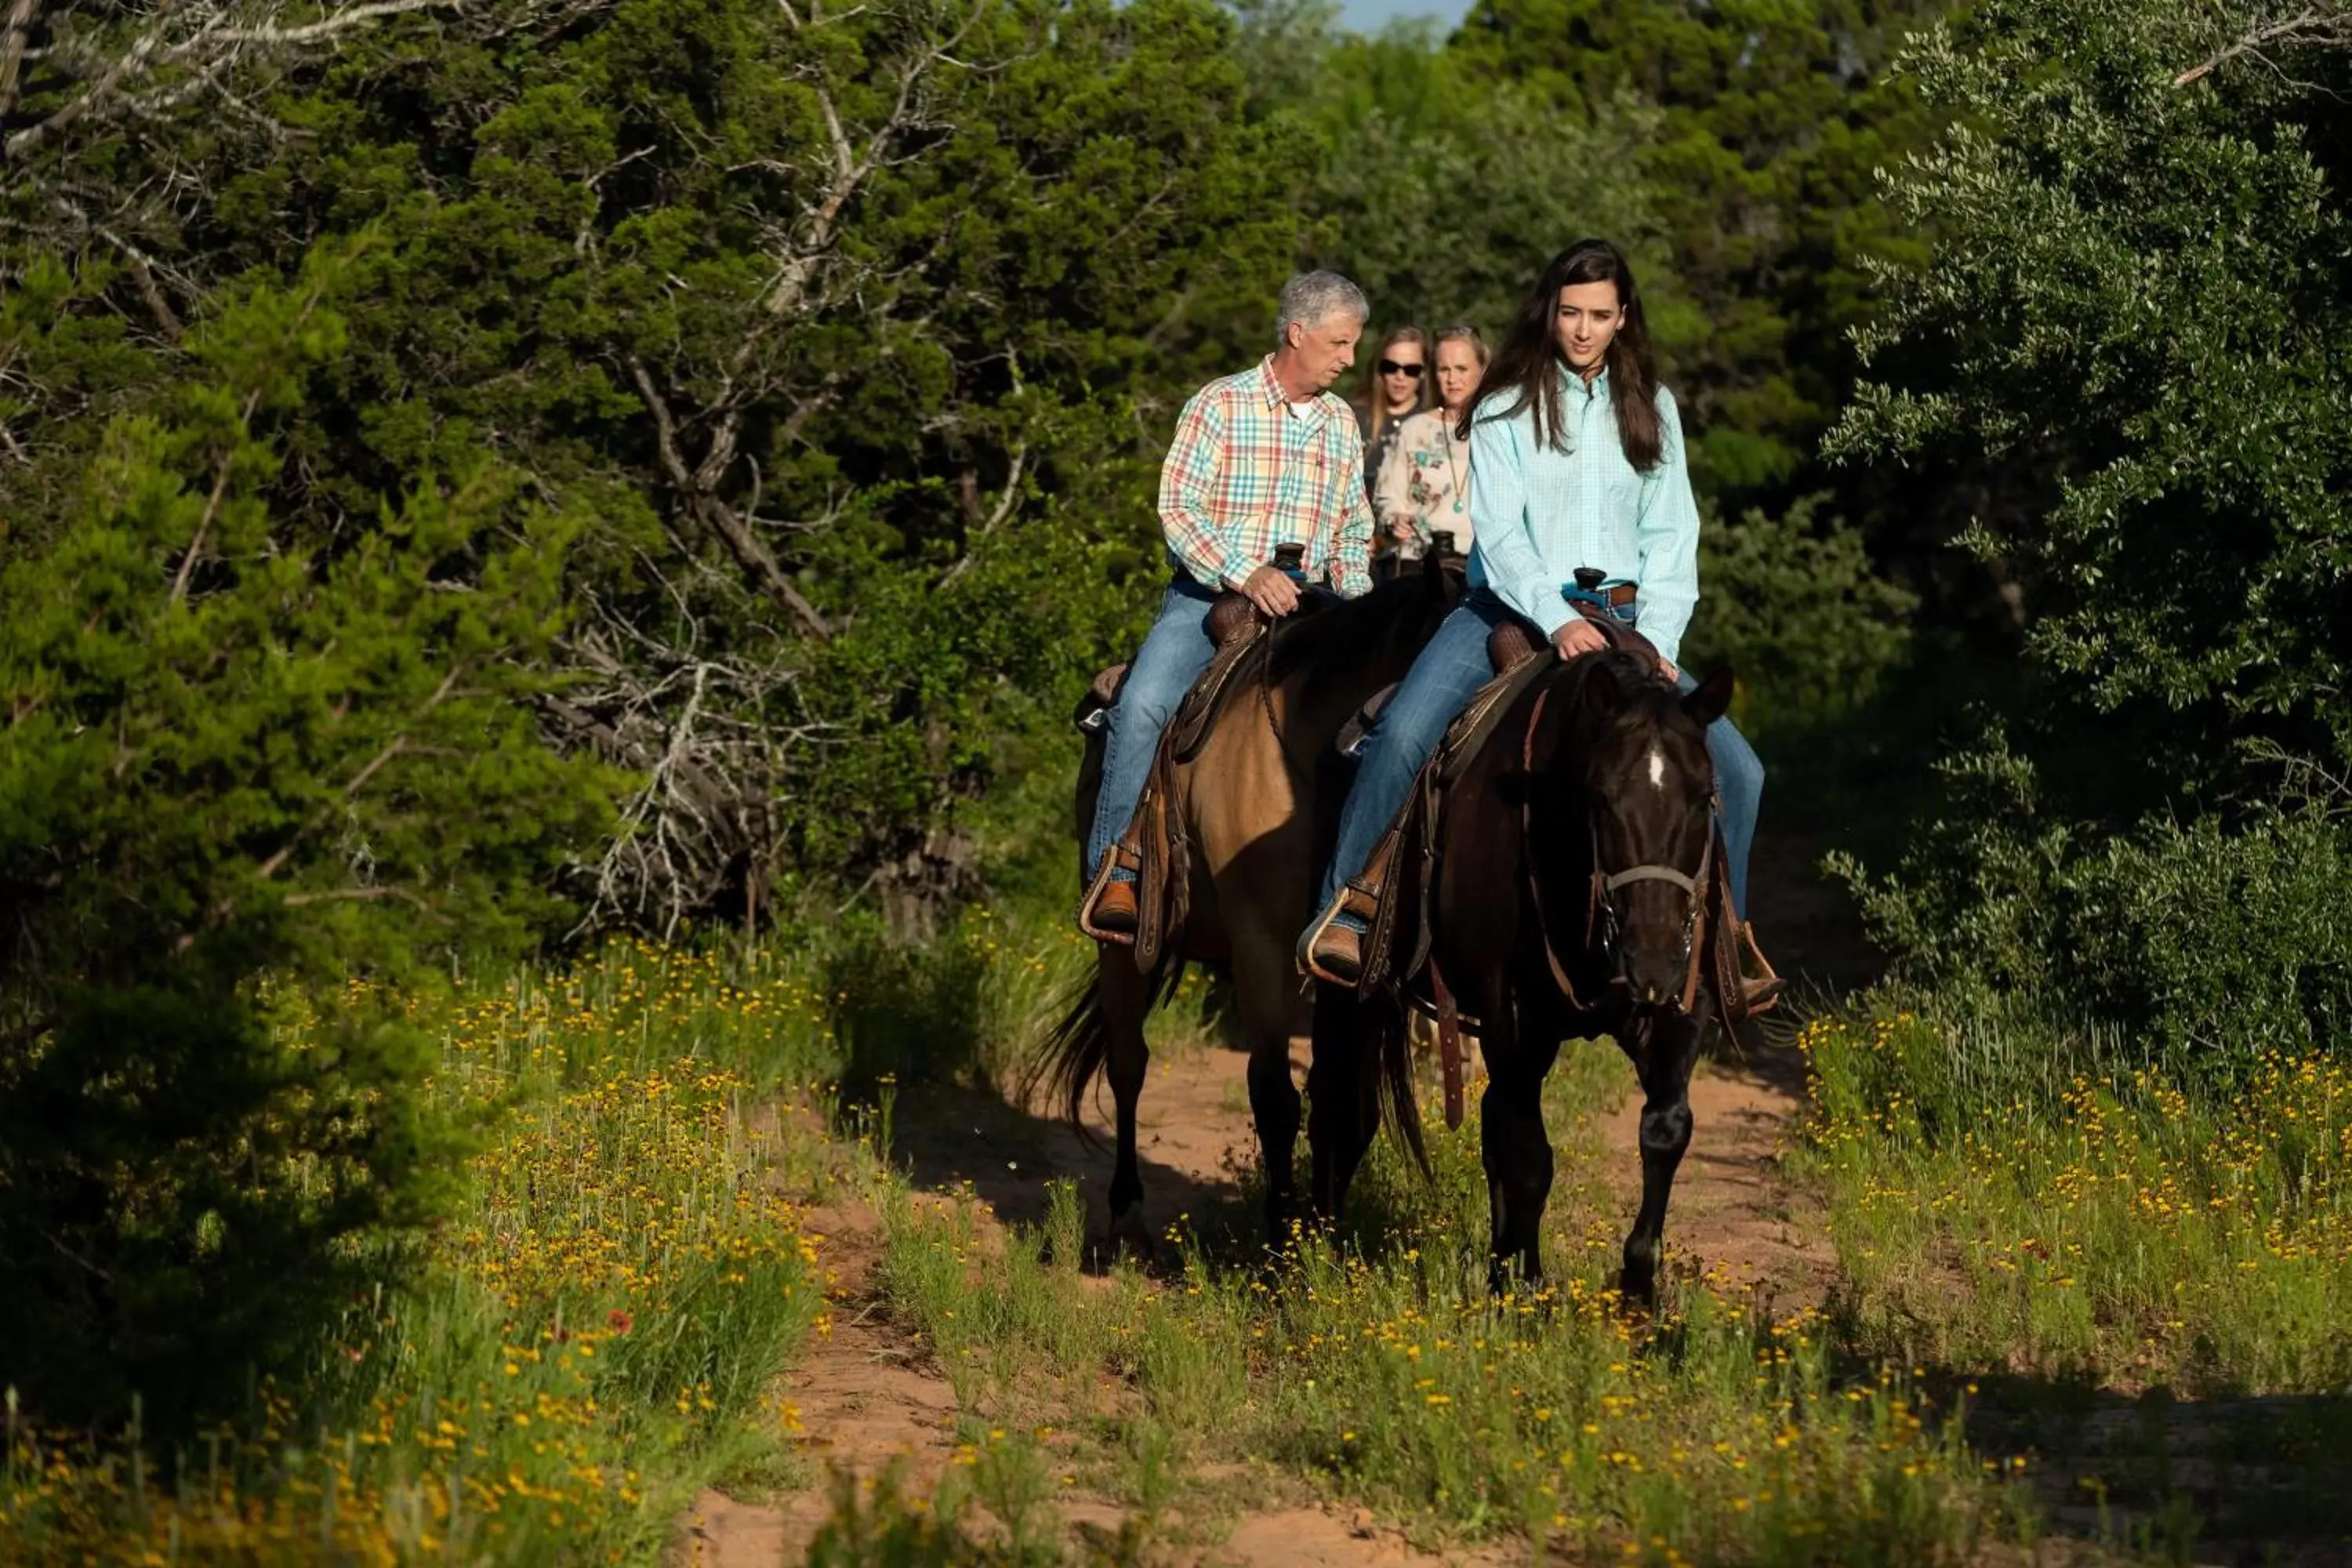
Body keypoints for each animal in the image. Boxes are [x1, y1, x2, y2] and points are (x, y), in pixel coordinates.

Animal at [1025, 564, 1449, 1250]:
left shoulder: (1349, 975)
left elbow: (1345, 1104)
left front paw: (1328, 1237)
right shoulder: (1262, 949)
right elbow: (1275, 1097)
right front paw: (1284, 1238)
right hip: (1120, 948)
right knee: (1127, 1065)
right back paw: (1125, 1215)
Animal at [1308, 644, 1750, 1307]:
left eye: (1705, 797)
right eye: (1600, 798)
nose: (1650, 961)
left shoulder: (1678, 1005)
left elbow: (1664, 1130)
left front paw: (1637, 1293)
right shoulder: (1513, 1020)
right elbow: (1531, 1160)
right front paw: (1529, 1291)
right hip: (1348, 996)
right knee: (1337, 1104)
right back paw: (1309, 1251)